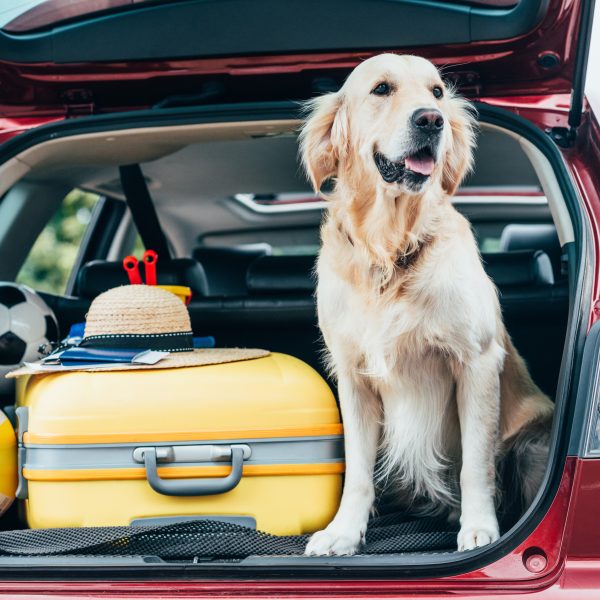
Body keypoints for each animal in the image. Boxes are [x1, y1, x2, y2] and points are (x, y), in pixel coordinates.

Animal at [300, 54, 552, 556]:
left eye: (436, 92)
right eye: (381, 88)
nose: (431, 120)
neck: (390, 249)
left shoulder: (475, 362)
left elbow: (475, 464)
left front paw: (479, 528)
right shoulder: (353, 376)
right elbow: (357, 471)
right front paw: (343, 532)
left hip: (532, 443)